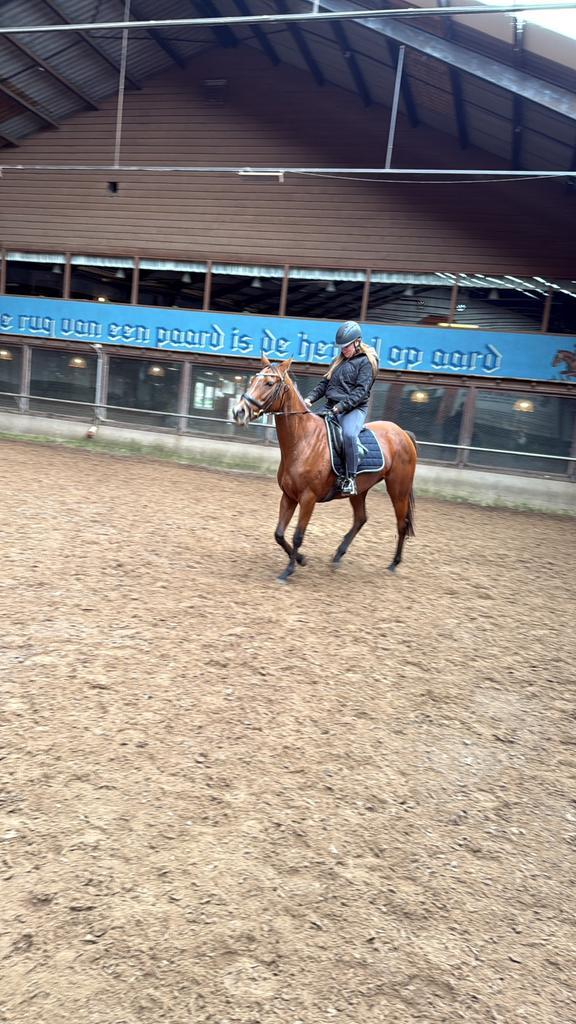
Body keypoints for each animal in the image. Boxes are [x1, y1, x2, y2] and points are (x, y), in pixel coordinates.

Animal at [232, 355, 418, 582]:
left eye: (269, 383)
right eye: (252, 381)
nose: (239, 412)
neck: (303, 440)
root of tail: (402, 433)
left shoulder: (308, 498)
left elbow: (298, 535)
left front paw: (288, 570)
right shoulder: (289, 495)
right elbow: (279, 534)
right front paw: (301, 560)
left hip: (398, 489)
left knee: (401, 523)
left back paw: (394, 564)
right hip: (359, 491)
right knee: (361, 518)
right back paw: (338, 556)